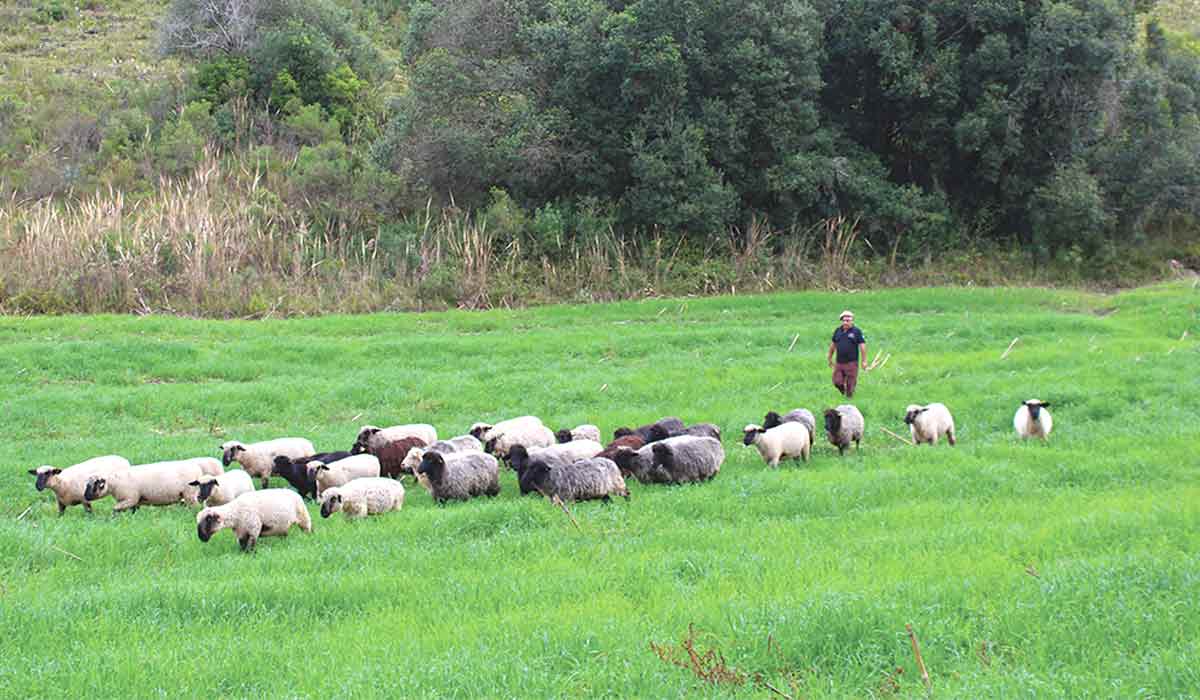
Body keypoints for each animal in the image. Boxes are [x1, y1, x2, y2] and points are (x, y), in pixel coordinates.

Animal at [85, 456, 225, 511]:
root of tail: (196, 467)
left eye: (94, 485)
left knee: (195, 507)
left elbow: (115, 509)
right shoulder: (134, 500)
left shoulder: (129, 498)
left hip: (189, 494)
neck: (114, 483)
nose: (86, 497)